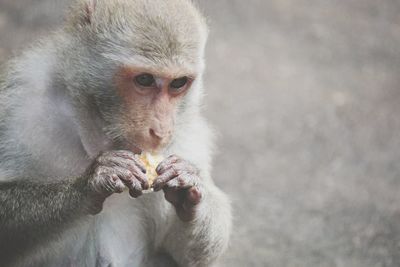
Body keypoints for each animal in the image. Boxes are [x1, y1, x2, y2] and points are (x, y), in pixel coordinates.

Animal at [0, 0, 231, 266]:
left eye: (178, 83)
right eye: (144, 79)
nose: (161, 131)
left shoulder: (189, 135)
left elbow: (183, 254)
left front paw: (188, 183)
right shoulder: (18, 103)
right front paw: (92, 182)